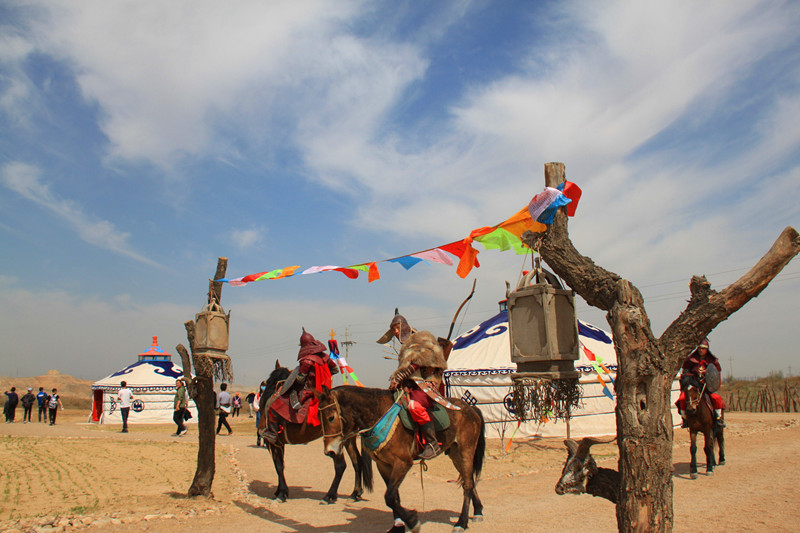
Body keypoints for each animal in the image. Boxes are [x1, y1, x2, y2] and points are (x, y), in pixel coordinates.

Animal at [256, 362, 372, 502]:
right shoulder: (279, 443)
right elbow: (280, 464)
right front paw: (280, 490)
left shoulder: (272, 442)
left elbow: (278, 465)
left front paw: (282, 493)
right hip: (347, 438)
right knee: (357, 461)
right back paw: (355, 493)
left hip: (335, 439)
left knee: (341, 465)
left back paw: (330, 495)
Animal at [316, 384, 484, 528]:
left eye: (331, 417)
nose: (329, 451)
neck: (380, 414)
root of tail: (470, 408)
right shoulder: (383, 465)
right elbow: (393, 496)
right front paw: (399, 522)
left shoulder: (403, 463)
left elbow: (389, 496)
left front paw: (411, 520)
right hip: (455, 455)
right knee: (468, 481)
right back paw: (478, 511)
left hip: (466, 451)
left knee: (468, 484)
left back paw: (461, 522)